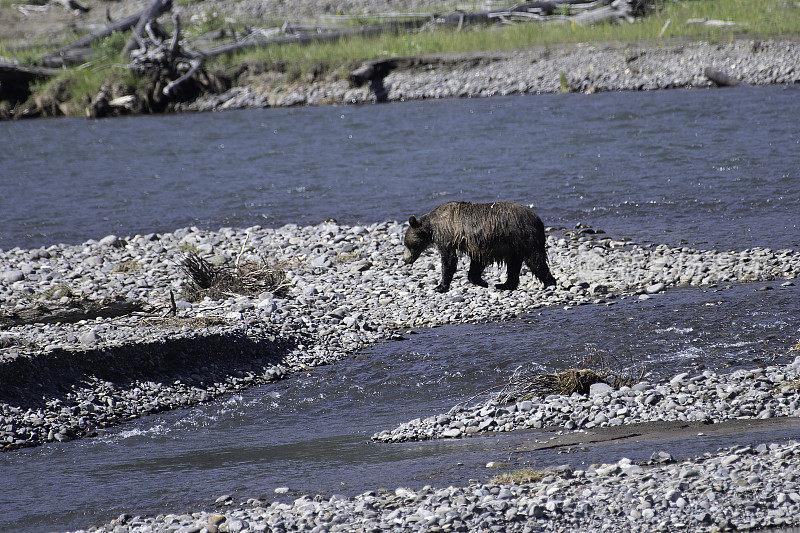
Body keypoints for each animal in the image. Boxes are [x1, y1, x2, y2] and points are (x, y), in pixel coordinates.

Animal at [404, 200, 552, 290]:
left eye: (406, 244)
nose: (405, 259)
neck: (431, 227)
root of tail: (538, 219)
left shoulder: (446, 236)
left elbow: (449, 260)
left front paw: (440, 286)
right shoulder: (477, 243)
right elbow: (477, 262)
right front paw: (481, 281)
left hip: (525, 237)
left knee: (535, 260)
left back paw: (549, 282)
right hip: (514, 245)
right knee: (514, 264)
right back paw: (505, 284)